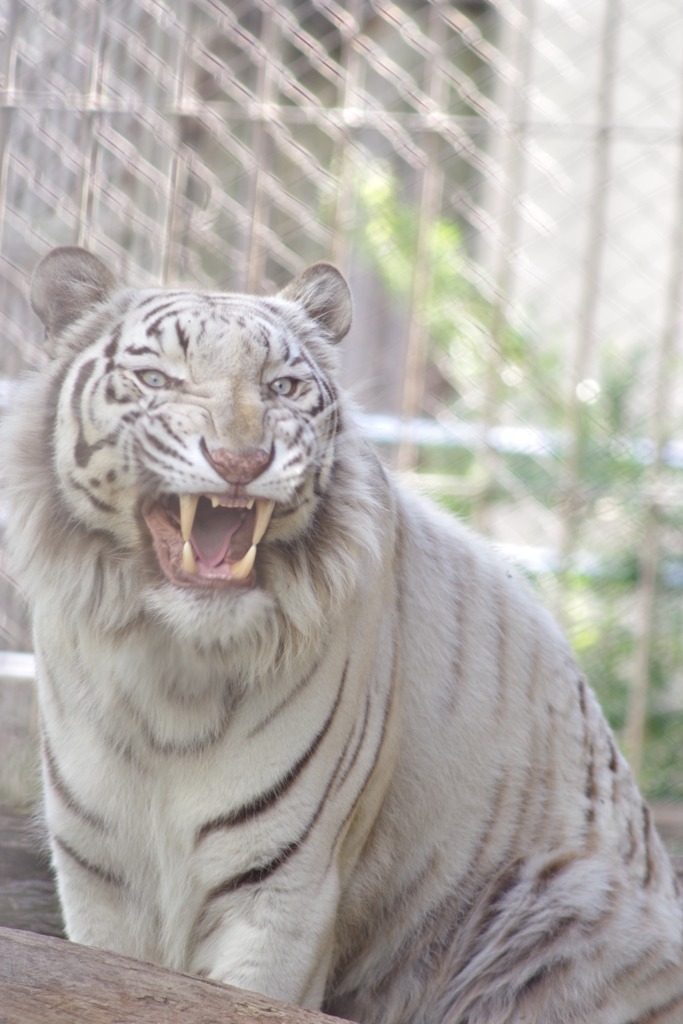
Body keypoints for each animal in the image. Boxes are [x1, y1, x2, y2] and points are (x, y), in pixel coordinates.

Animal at [3, 247, 683, 1024]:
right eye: (157, 380)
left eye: (283, 387)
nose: (241, 461)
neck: (174, 664)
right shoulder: (100, 877)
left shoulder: (284, 888)